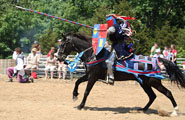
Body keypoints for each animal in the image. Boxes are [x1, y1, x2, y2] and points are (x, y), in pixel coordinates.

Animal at [57, 32, 185, 116]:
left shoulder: (92, 77)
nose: (59, 57)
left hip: (154, 82)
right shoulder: (89, 76)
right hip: (144, 83)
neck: (94, 54)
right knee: (152, 96)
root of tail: (156, 59)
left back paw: (175, 111)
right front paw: (74, 96)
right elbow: (77, 82)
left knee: (168, 93)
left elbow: (86, 91)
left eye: (63, 44)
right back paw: (142, 110)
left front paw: (80, 106)